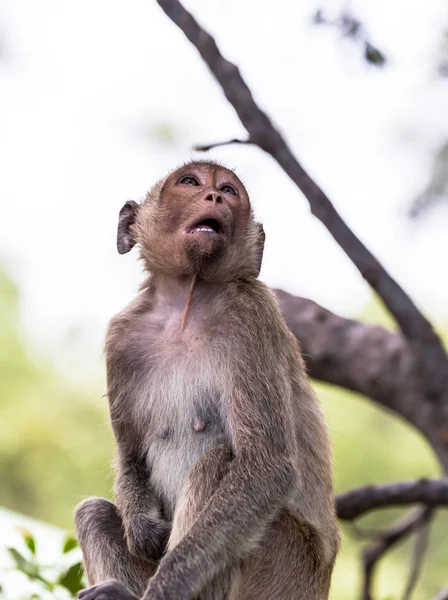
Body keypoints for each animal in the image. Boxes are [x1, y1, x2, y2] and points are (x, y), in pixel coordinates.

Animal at [74, 161, 340, 600]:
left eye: (229, 190)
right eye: (190, 183)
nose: (215, 196)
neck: (187, 305)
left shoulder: (251, 316)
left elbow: (266, 466)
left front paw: (164, 590)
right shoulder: (121, 338)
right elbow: (131, 457)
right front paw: (143, 528)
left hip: (283, 570)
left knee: (218, 462)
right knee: (91, 512)